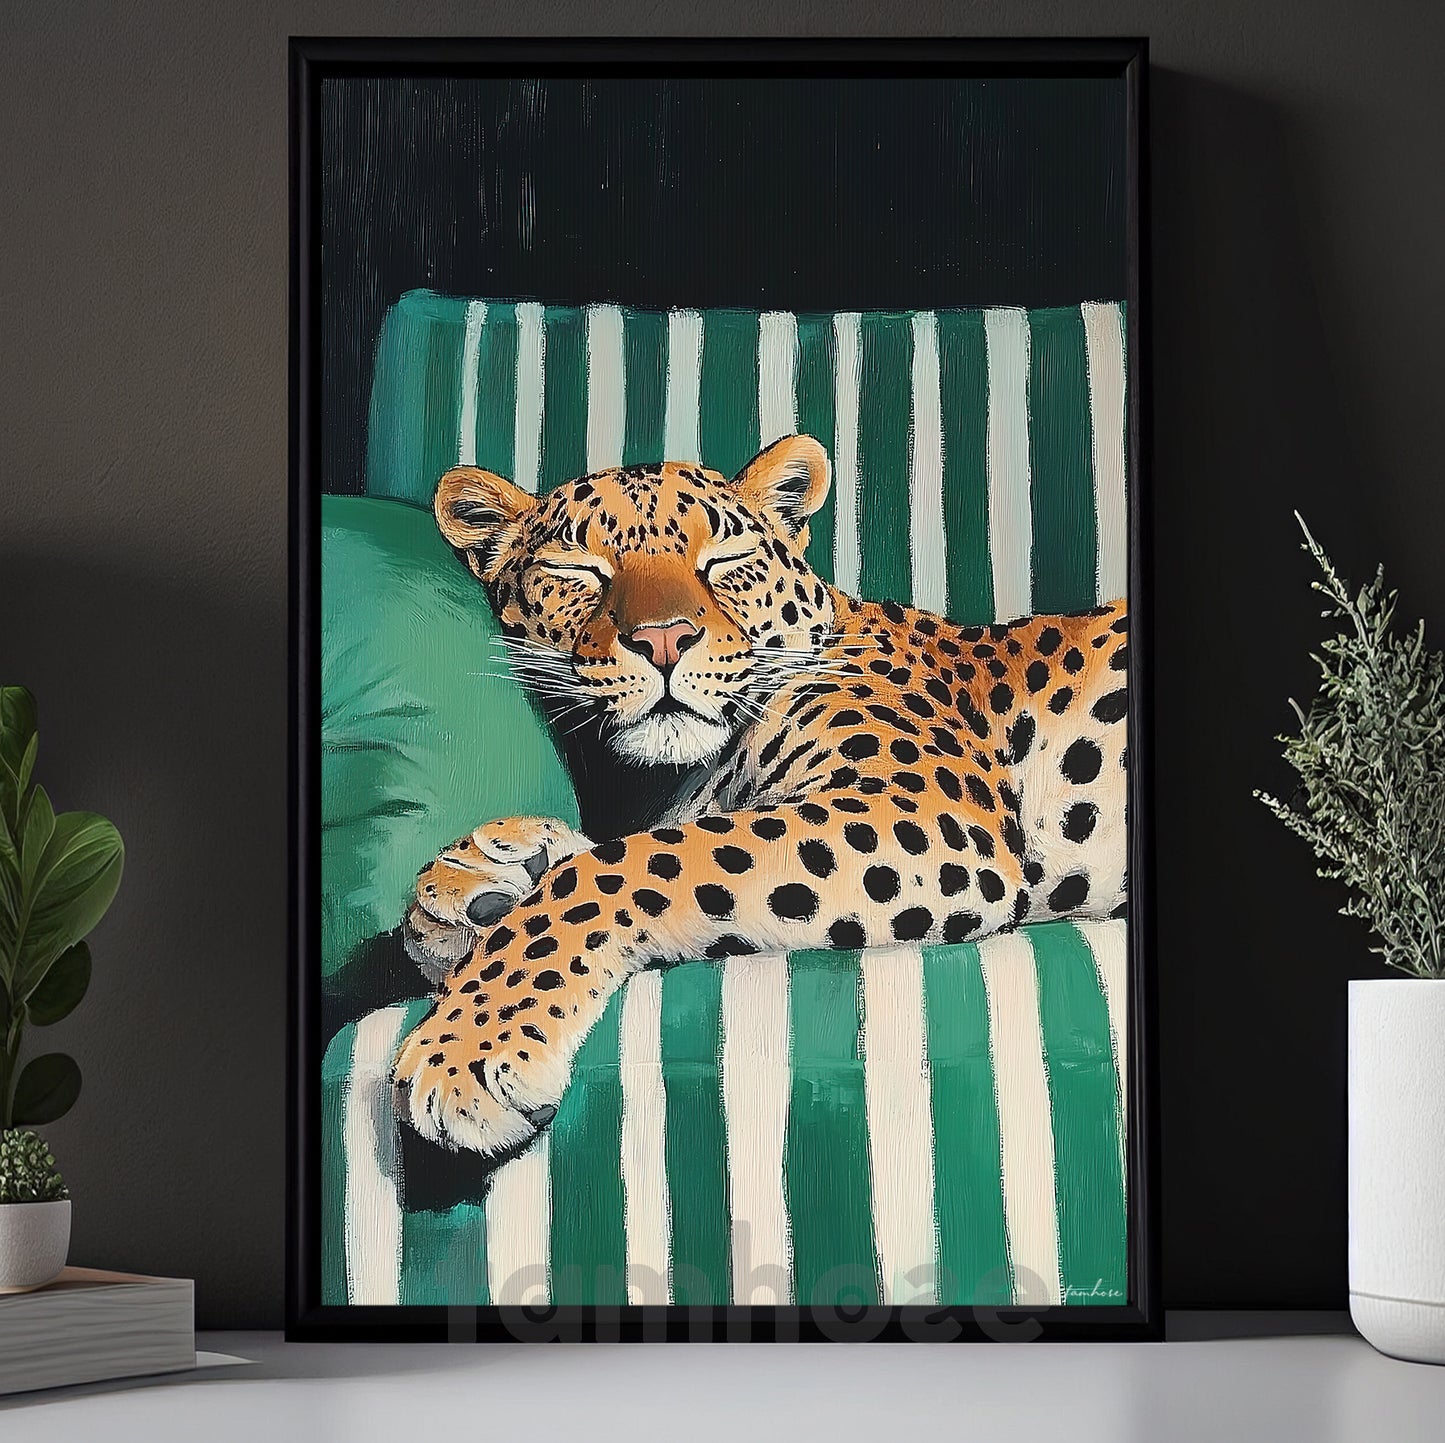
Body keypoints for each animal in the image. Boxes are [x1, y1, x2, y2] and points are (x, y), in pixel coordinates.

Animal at [392, 433, 1128, 1157]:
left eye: (725, 560)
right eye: (578, 569)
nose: (664, 639)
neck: (657, 779)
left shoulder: (925, 810)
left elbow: (627, 862)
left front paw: (466, 1047)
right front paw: (471, 883)